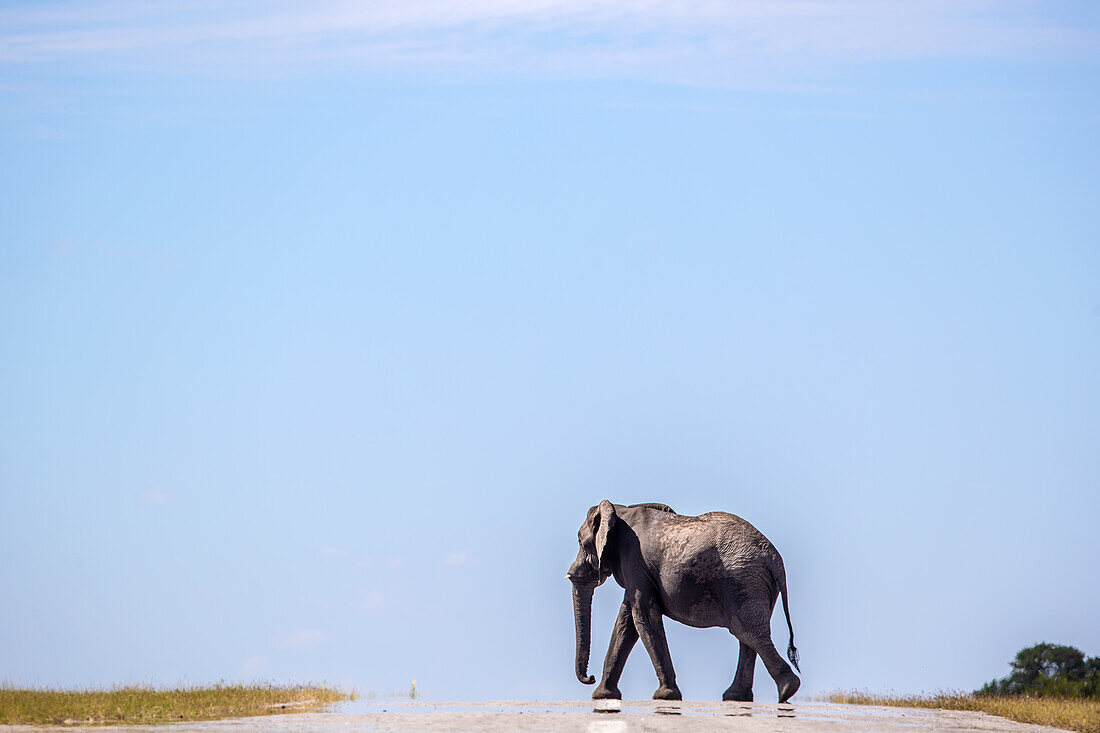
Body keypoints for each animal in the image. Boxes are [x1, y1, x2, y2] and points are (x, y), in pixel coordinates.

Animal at [567, 499, 800, 699]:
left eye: (579, 542)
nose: (590, 677)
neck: (620, 510)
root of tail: (775, 559)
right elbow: (626, 622)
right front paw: (602, 696)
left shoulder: (634, 560)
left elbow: (643, 616)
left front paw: (665, 695)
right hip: (755, 583)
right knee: (748, 636)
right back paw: (738, 697)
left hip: (744, 580)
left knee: (748, 632)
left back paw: (787, 689)